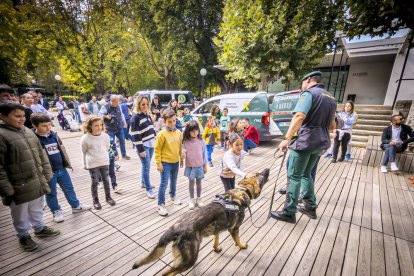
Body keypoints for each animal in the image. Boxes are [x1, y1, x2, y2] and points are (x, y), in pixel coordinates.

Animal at [131, 168, 270, 276]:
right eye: (260, 175)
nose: (267, 169)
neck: (242, 191)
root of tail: (176, 227)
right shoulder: (234, 228)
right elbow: (237, 240)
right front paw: (241, 245)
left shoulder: (217, 228)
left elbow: (216, 239)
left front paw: (216, 248)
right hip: (189, 260)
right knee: (167, 273)